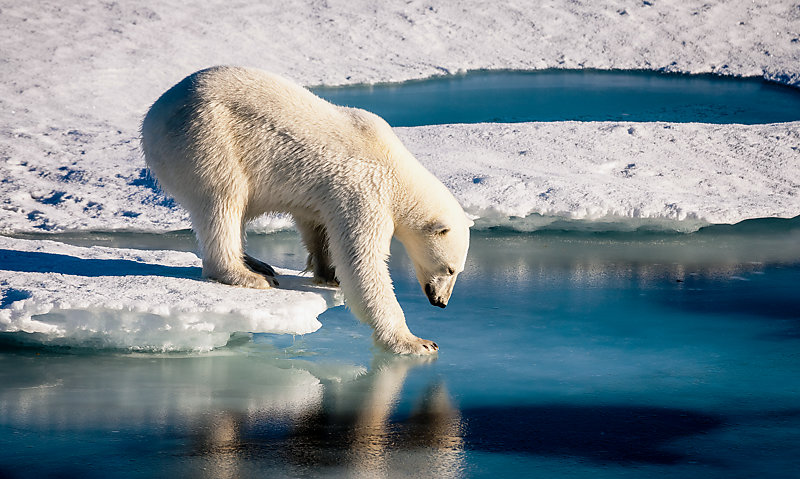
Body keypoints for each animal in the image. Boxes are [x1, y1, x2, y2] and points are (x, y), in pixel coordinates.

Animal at [141, 65, 472, 354]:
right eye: (450, 268)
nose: (441, 302)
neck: (396, 168)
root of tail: (153, 116)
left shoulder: (327, 194)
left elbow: (316, 225)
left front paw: (328, 273)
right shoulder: (365, 191)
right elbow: (362, 262)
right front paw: (416, 342)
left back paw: (257, 263)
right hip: (207, 139)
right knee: (223, 200)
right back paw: (247, 275)